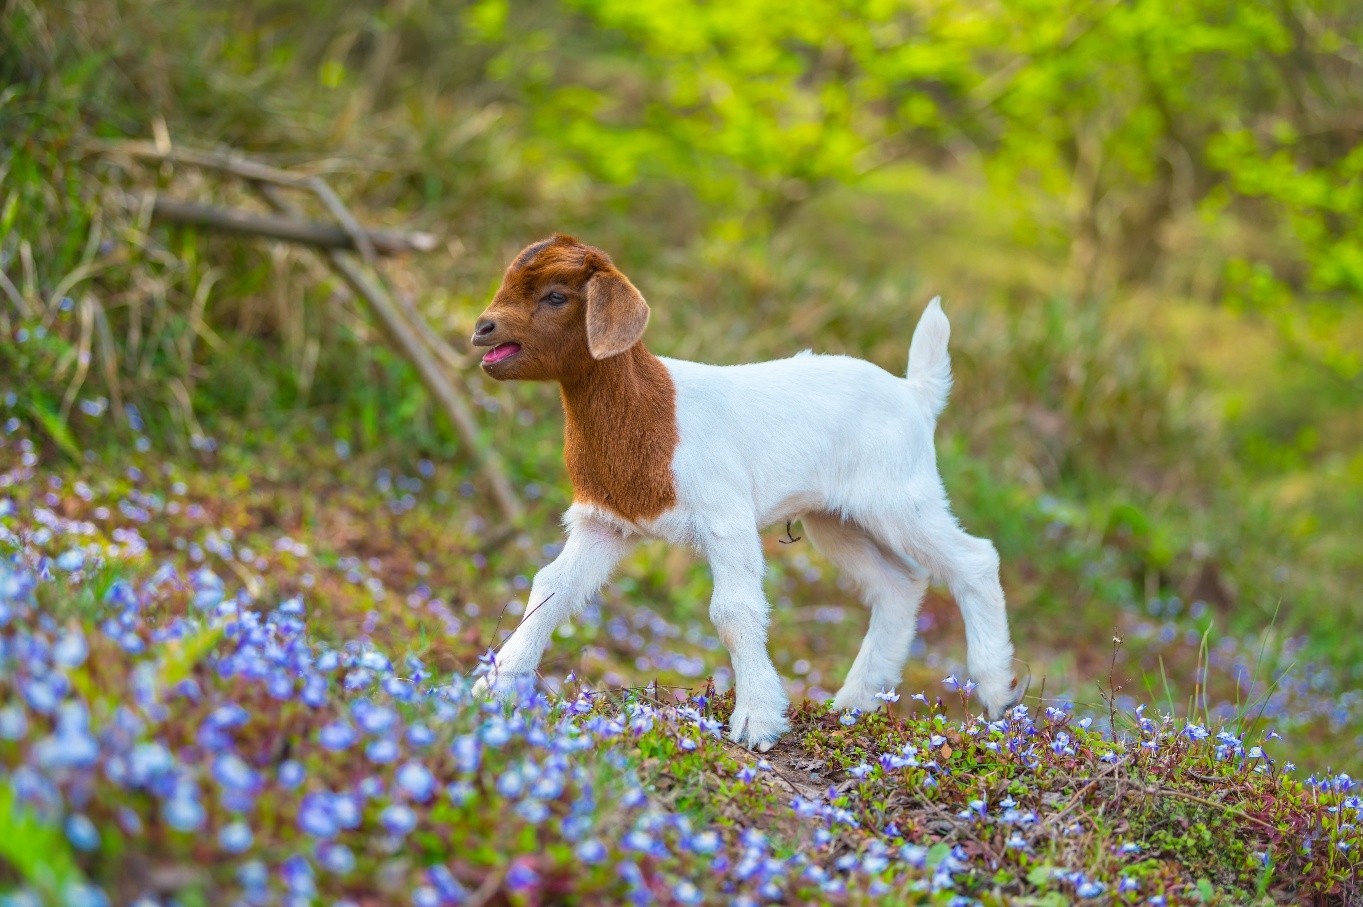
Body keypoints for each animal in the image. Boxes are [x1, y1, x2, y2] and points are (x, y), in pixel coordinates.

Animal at [469, 234, 1018, 751]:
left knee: (975, 559)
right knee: (898, 584)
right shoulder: (604, 523)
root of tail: (916, 394)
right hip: (835, 519)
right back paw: (855, 702)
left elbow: (733, 611)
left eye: (556, 296)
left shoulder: (725, 516)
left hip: (900, 496)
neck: (653, 410)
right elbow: (551, 588)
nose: (481, 329)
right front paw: (494, 687)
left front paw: (757, 721)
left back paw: (995, 694)